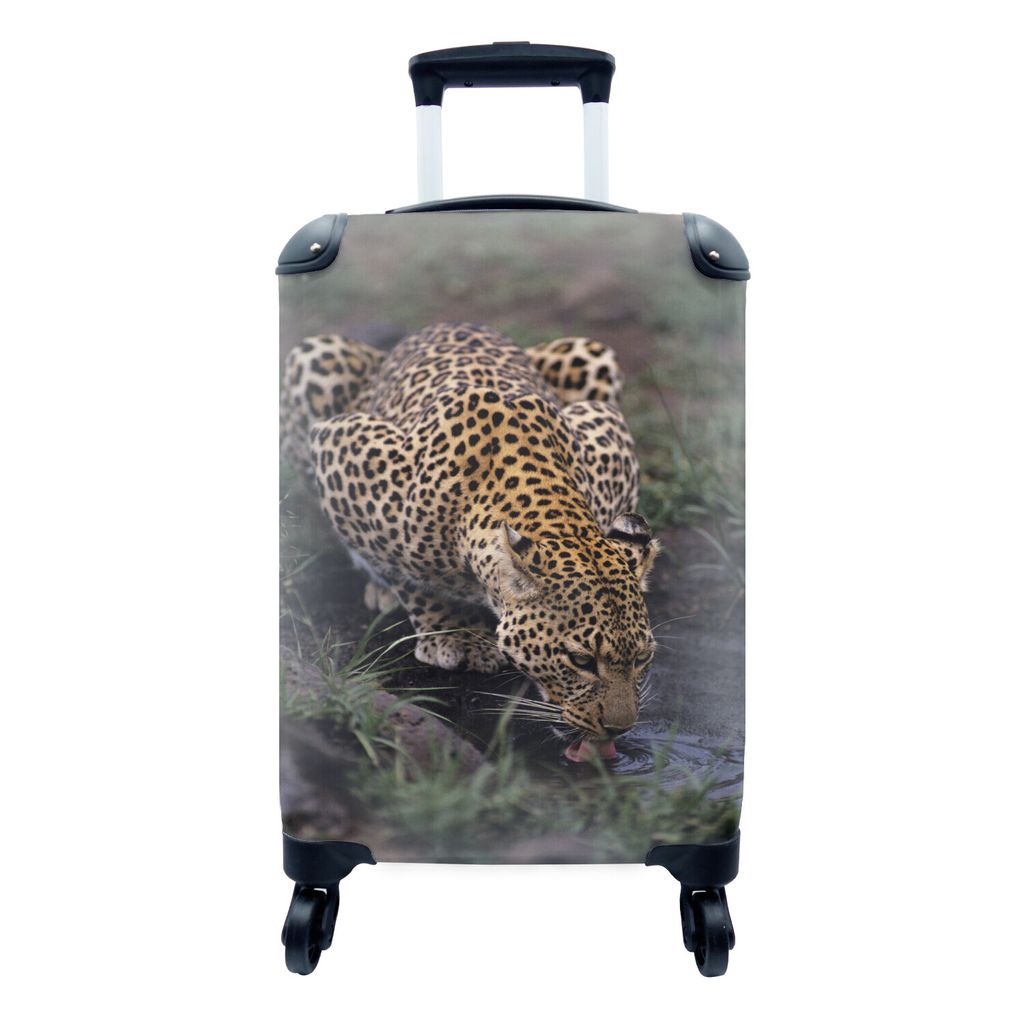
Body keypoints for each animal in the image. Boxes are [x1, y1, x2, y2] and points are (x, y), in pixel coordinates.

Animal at [281, 323, 659, 759]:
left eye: (643, 657)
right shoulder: (339, 443)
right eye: (580, 660)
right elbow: (405, 572)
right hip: (311, 357)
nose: (619, 728)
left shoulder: (607, 428)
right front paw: (450, 632)